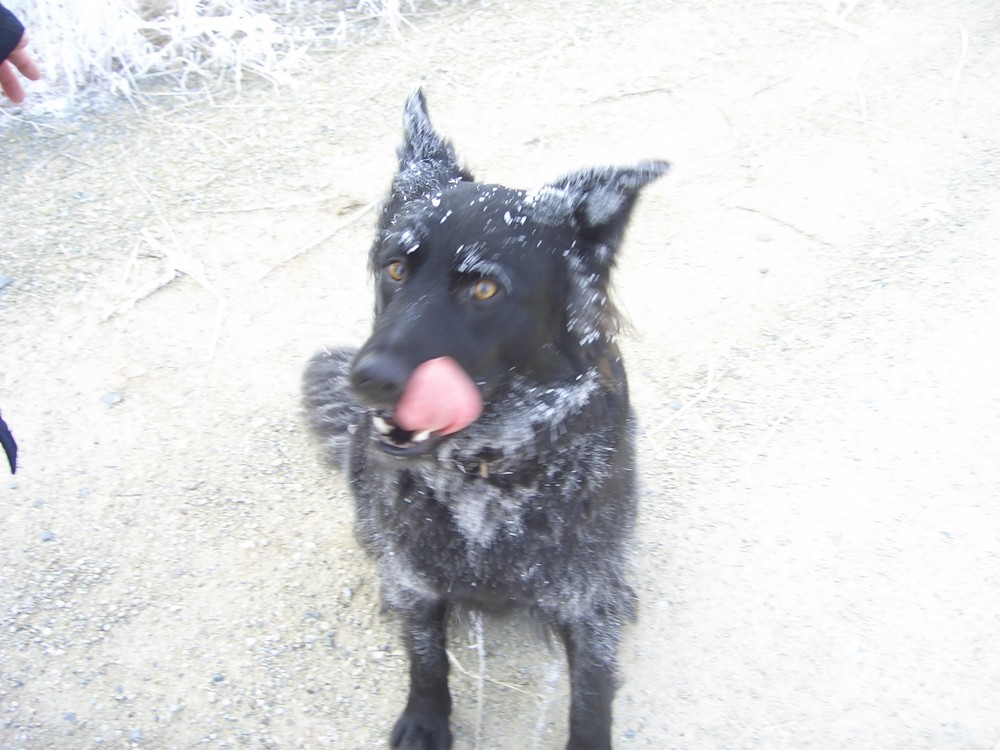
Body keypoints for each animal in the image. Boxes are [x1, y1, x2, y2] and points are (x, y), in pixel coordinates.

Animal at [300, 89, 668, 750]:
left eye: (484, 290)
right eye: (396, 269)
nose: (366, 378)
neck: (485, 473)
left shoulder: (587, 596)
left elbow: (592, 695)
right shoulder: (415, 578)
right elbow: (426, 657)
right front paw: (425, 722)